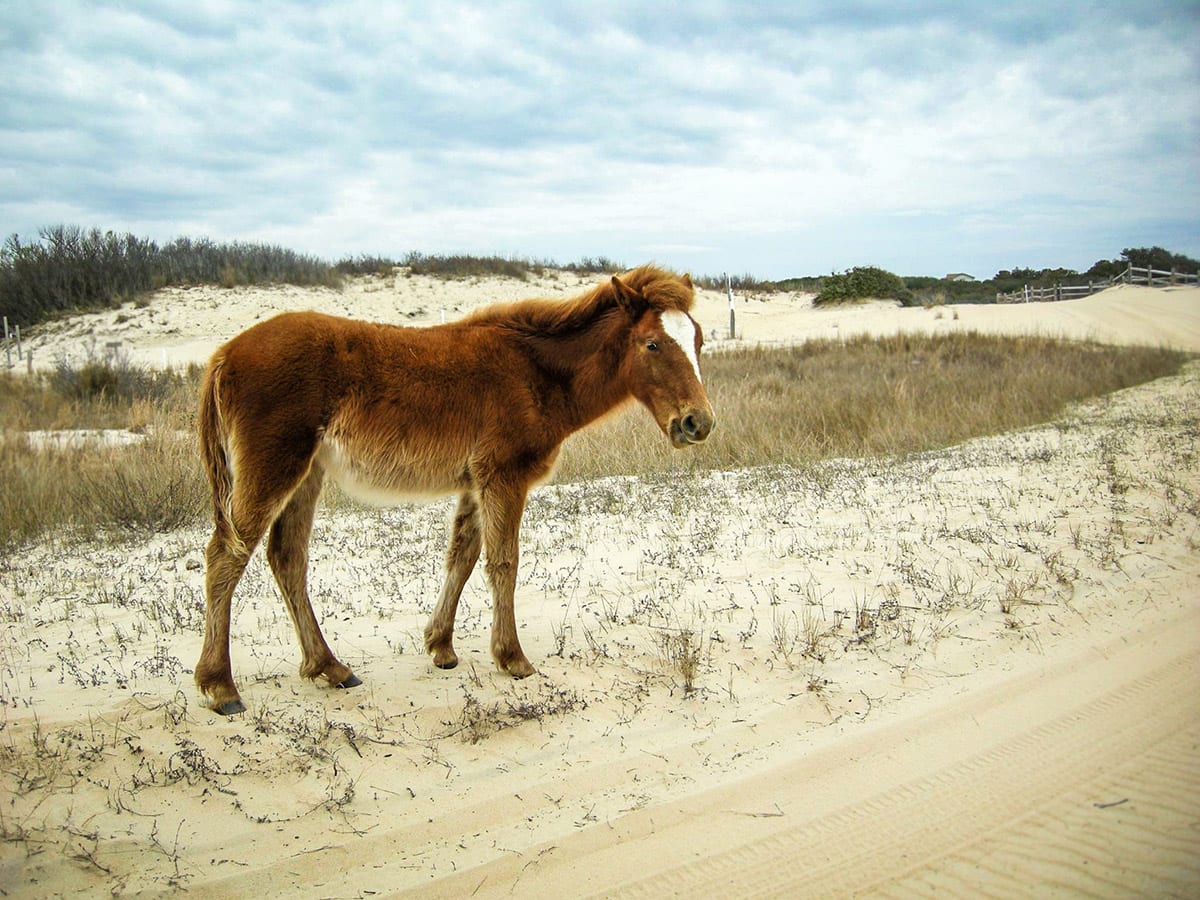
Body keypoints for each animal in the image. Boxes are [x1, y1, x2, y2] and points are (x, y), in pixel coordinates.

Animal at [194, 264, 710, 715]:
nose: (698, 423)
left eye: (700, 340)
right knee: (225, 556)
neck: (534, 372)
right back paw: (221, 686)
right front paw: (512, 657)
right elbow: (503, 562)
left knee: (287, 559)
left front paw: (440, 645)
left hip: (306, 476)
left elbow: (462, 556)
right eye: (652, 344)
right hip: (274, 468)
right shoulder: (503, 476)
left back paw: (329, 667)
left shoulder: (475, 483)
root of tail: (222, 355)